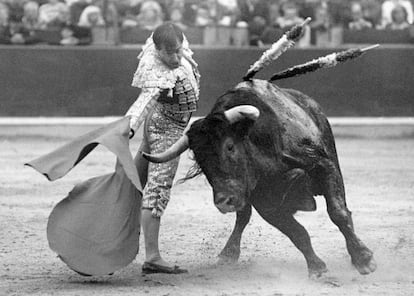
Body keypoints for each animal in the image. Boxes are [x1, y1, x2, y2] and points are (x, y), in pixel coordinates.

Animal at [143, 78, 378, 278]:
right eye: (201, 161)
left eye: (230, 146)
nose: (224, 201)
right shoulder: (265, 204)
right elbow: (297, 232)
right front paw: (317, 267)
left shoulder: (325, 167)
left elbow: (338, 213)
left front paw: (363, 259)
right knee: (243, 217)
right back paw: (228, 254)